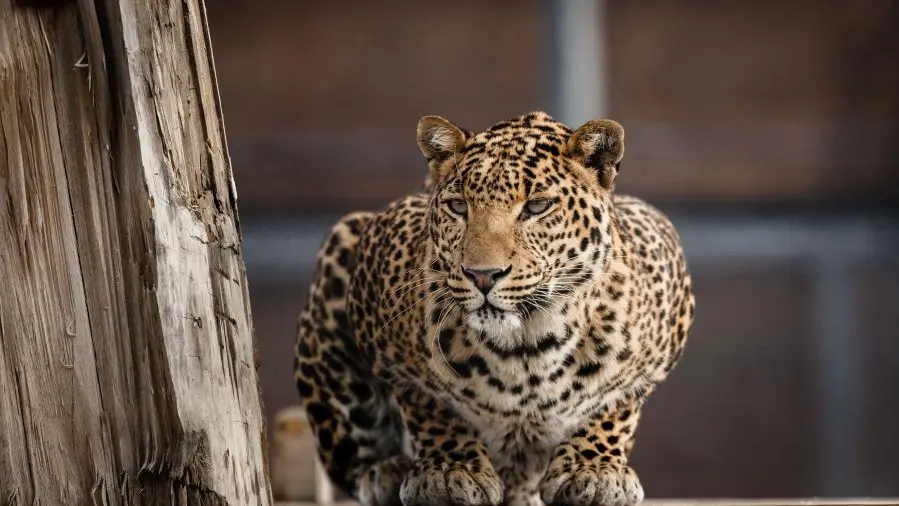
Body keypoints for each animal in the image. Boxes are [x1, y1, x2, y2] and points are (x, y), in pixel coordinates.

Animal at [293, 111, 695, 506]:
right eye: (459, 207)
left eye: (536, 207)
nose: (482, 275)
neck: (527, 348)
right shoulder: (389, 346)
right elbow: (429, 404)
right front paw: (449, 469)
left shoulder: (660, 326)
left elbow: (615, 404)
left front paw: (592, 469)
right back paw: (385, 472)